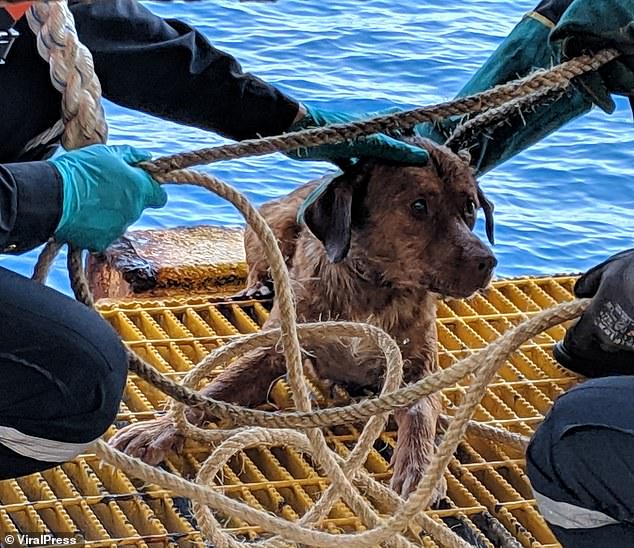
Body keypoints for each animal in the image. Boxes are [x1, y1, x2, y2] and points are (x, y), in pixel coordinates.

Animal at [110, 138, 494, 500]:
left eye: (469, 207)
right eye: (418, 206)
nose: (487, 261)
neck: (372, 287)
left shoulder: (419, 370)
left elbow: (419, 418)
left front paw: (420, 469)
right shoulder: (274, 349)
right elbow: (211, 390)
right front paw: (158, 430)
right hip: (274, 224)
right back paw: (258, 286)